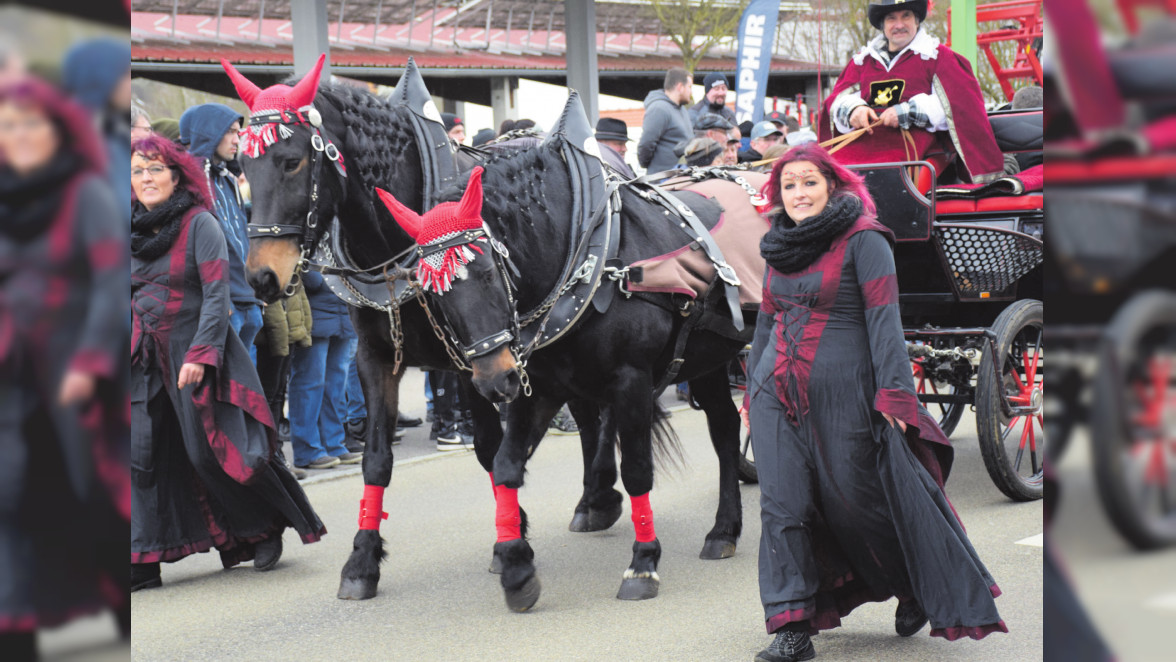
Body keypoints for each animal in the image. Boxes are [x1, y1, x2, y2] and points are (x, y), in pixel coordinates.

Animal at [381, 94, 757, 611]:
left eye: (487, 273)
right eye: (434, 294)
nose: (490, 381)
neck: (591, 255)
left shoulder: (632, 381)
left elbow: (637, 470)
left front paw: (643, 563)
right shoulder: (536, 385)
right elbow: (506, 465)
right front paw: (516, 566)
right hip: (708, 357)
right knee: (723, 429)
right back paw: (724, 530)